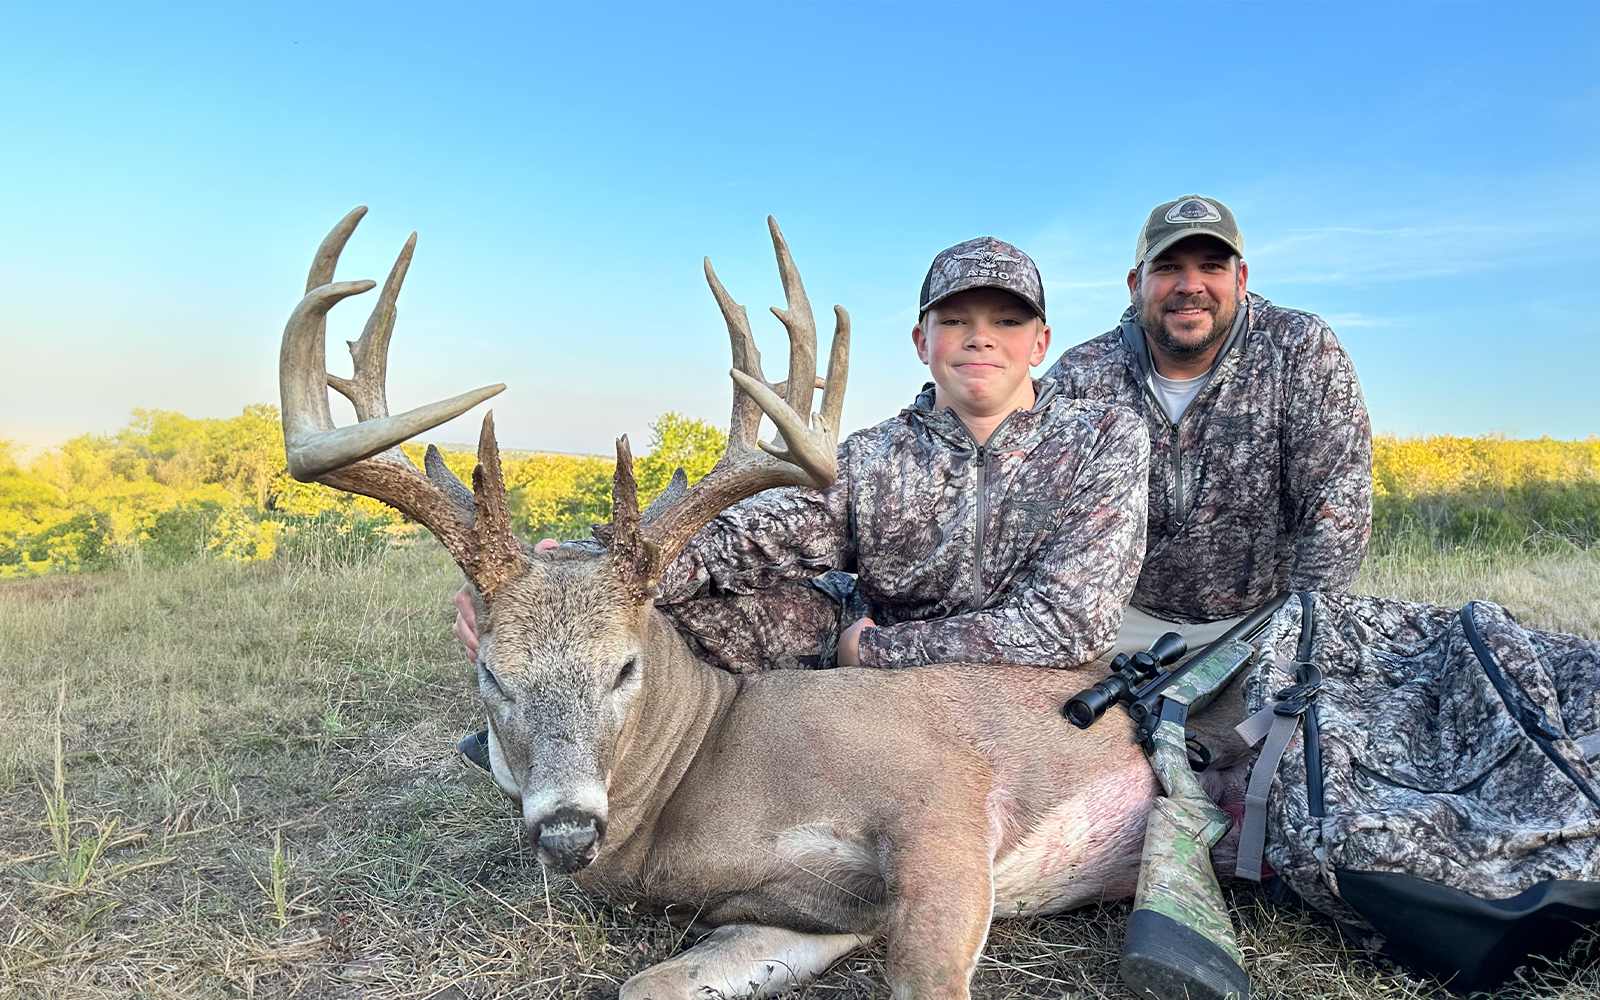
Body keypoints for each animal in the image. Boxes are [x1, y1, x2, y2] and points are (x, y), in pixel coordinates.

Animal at [280, 208, 1253, 1000]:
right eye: (492, 672)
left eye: (625, 667)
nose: (564, 832)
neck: (711, 774)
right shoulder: (812, 914)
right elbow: (648, 984)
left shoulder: (940, 793)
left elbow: (927, 976)